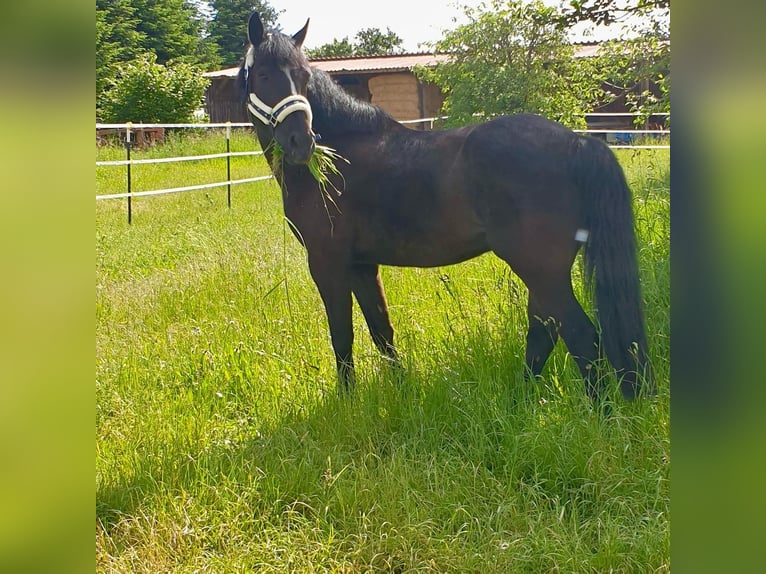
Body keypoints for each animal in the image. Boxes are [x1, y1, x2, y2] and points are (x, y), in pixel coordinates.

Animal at [237, 12, 652, 400]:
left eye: (304, 76)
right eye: (263, 73)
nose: (301, 141)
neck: (340, 155)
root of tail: (577, 142)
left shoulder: (328, 263)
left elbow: (342, 335)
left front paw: (346, 401)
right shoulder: (362, 265)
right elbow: (381, 329)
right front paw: (399, 387)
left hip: (539, 267)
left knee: (581, 336)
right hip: (544, 271)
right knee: (545, 330)